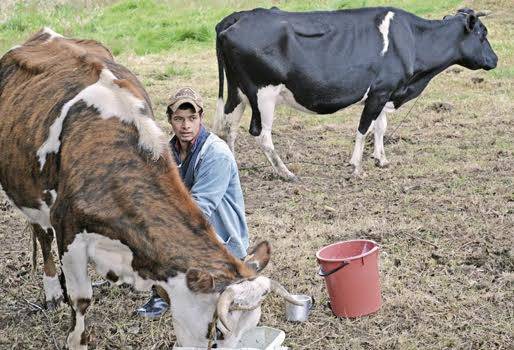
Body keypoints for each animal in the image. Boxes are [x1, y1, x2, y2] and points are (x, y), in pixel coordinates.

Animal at [0, 28, 298, 348]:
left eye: (252, 326)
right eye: (217, 332)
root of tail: (45, 33)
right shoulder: (68, 230)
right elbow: (81, 299)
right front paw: (76, 338)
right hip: (28, 193)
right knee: (41, 234)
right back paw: (54, 291)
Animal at [212, 7, 496, 179]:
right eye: (482, 34)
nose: (495, 60)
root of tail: (239, 16)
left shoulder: (386, 91)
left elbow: (380, 127)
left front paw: (381, 159)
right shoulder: (380, 92)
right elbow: (364, 128)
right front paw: (357, 167)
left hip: (238, 92)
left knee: (229, 127)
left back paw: (232, 167)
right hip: (264, 94)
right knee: (261, 134)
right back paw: (287, 173)